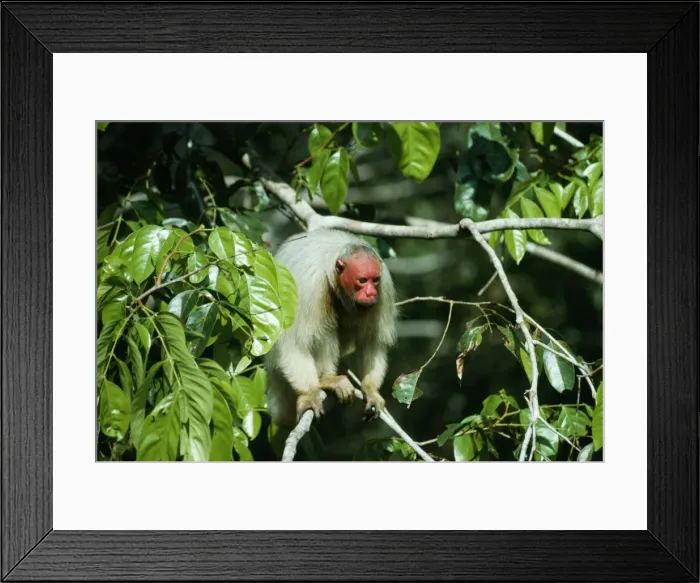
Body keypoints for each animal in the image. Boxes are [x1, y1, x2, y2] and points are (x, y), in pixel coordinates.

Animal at [264, 228, 398, 429]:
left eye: (375, 280)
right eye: (362, 280)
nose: (371, 293)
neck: (334, 275)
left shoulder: (385, 287)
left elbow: (371, 341)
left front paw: (371, 390)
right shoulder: (308, 288)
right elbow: (293, 344)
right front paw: (310, 394)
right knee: (323, 328)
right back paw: (327, 379)